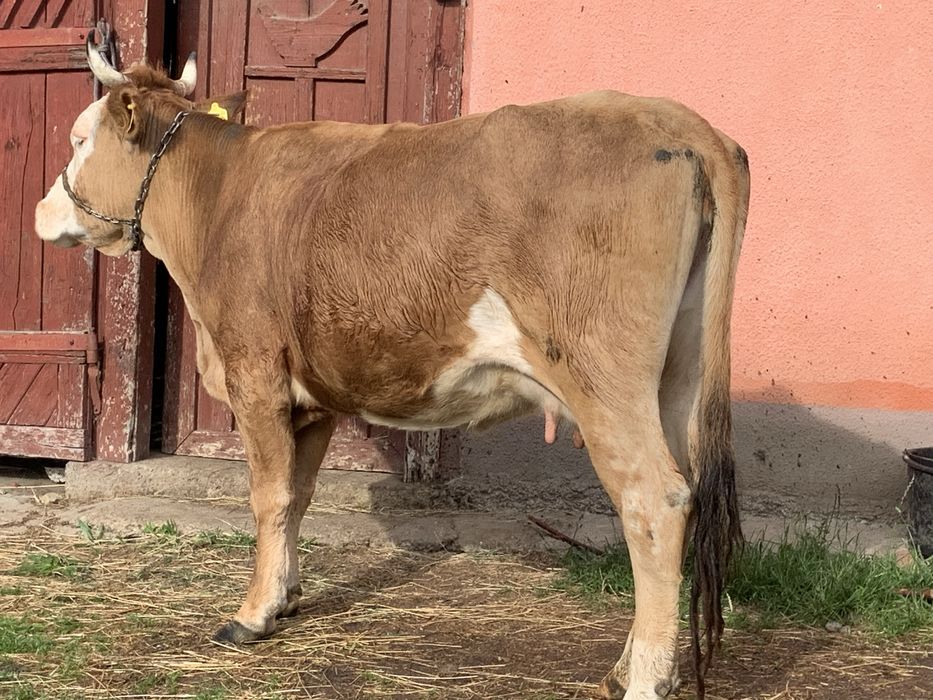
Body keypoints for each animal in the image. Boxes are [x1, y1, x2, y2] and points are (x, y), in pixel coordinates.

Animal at [35, 41, 749, 700]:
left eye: (77, 138)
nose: (42, 212)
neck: (218, 197)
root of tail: (686, 125)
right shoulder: (311, 395)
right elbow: (298, 494)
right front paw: (286, 595)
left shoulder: (254, 370)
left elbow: (268, 494)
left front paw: (252, 613)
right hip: (676, 378)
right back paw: (624, 667)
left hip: (605, 376)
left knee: (655, 498)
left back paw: (644, 679)